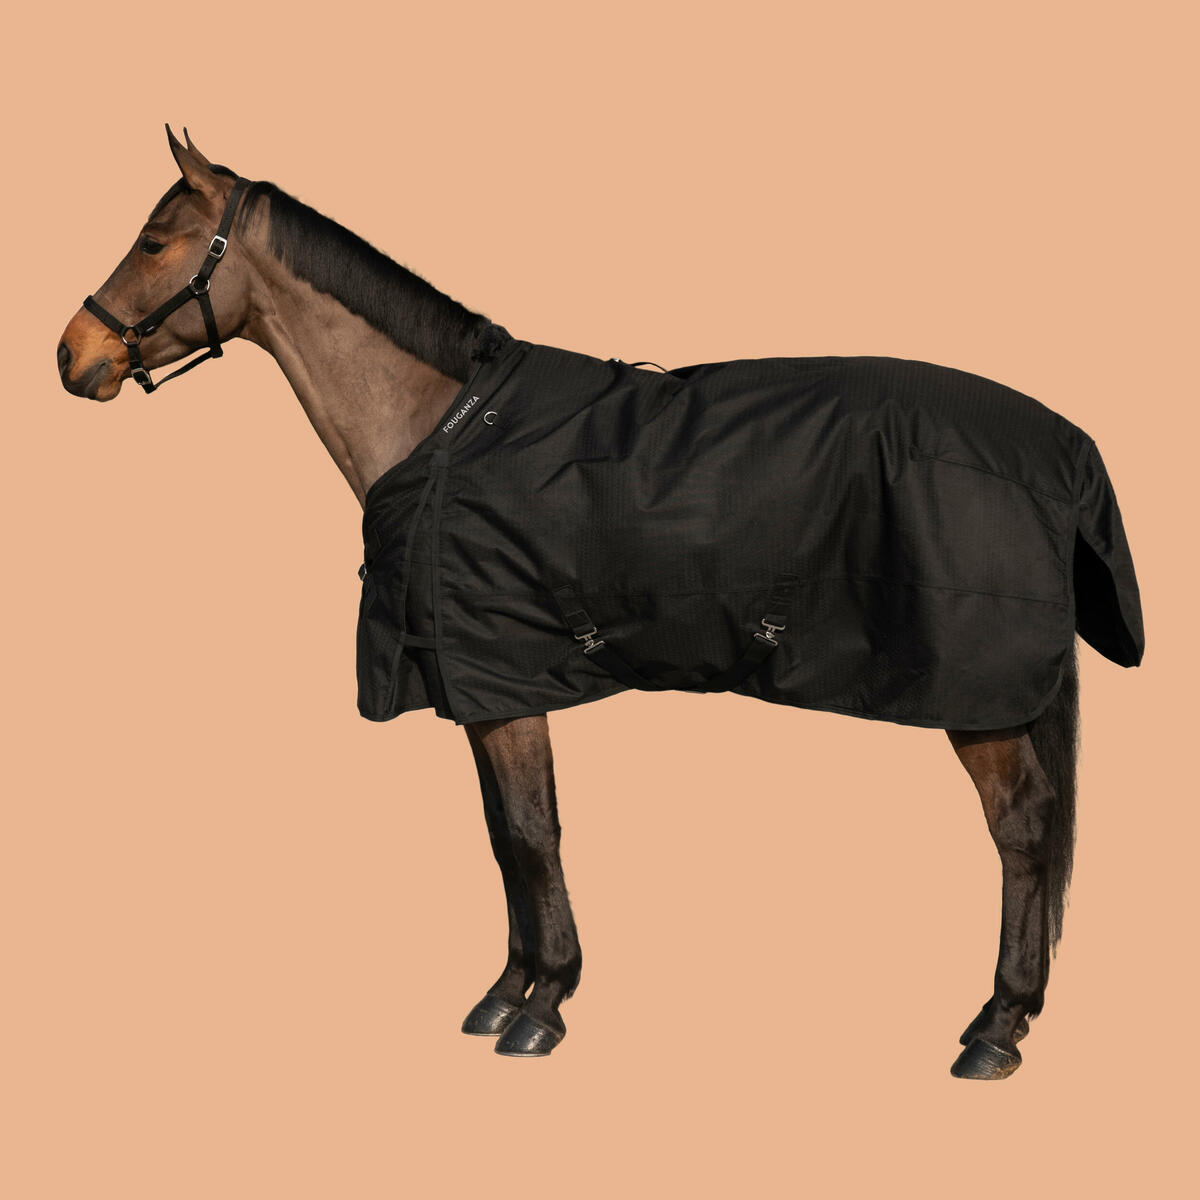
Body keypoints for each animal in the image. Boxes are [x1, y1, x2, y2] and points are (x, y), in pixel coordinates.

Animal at [56, 127, 1144, 1078]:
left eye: (155, 241)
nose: (71, 356)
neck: (442, 425)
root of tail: (1062, 446)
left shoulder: (508, 682)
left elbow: (533, 835)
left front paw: (542, 1008)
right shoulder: (479, 688)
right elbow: (503, 840)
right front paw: (507, 992)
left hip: (979, 698)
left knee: (1022, 829)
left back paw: (996, 1028)